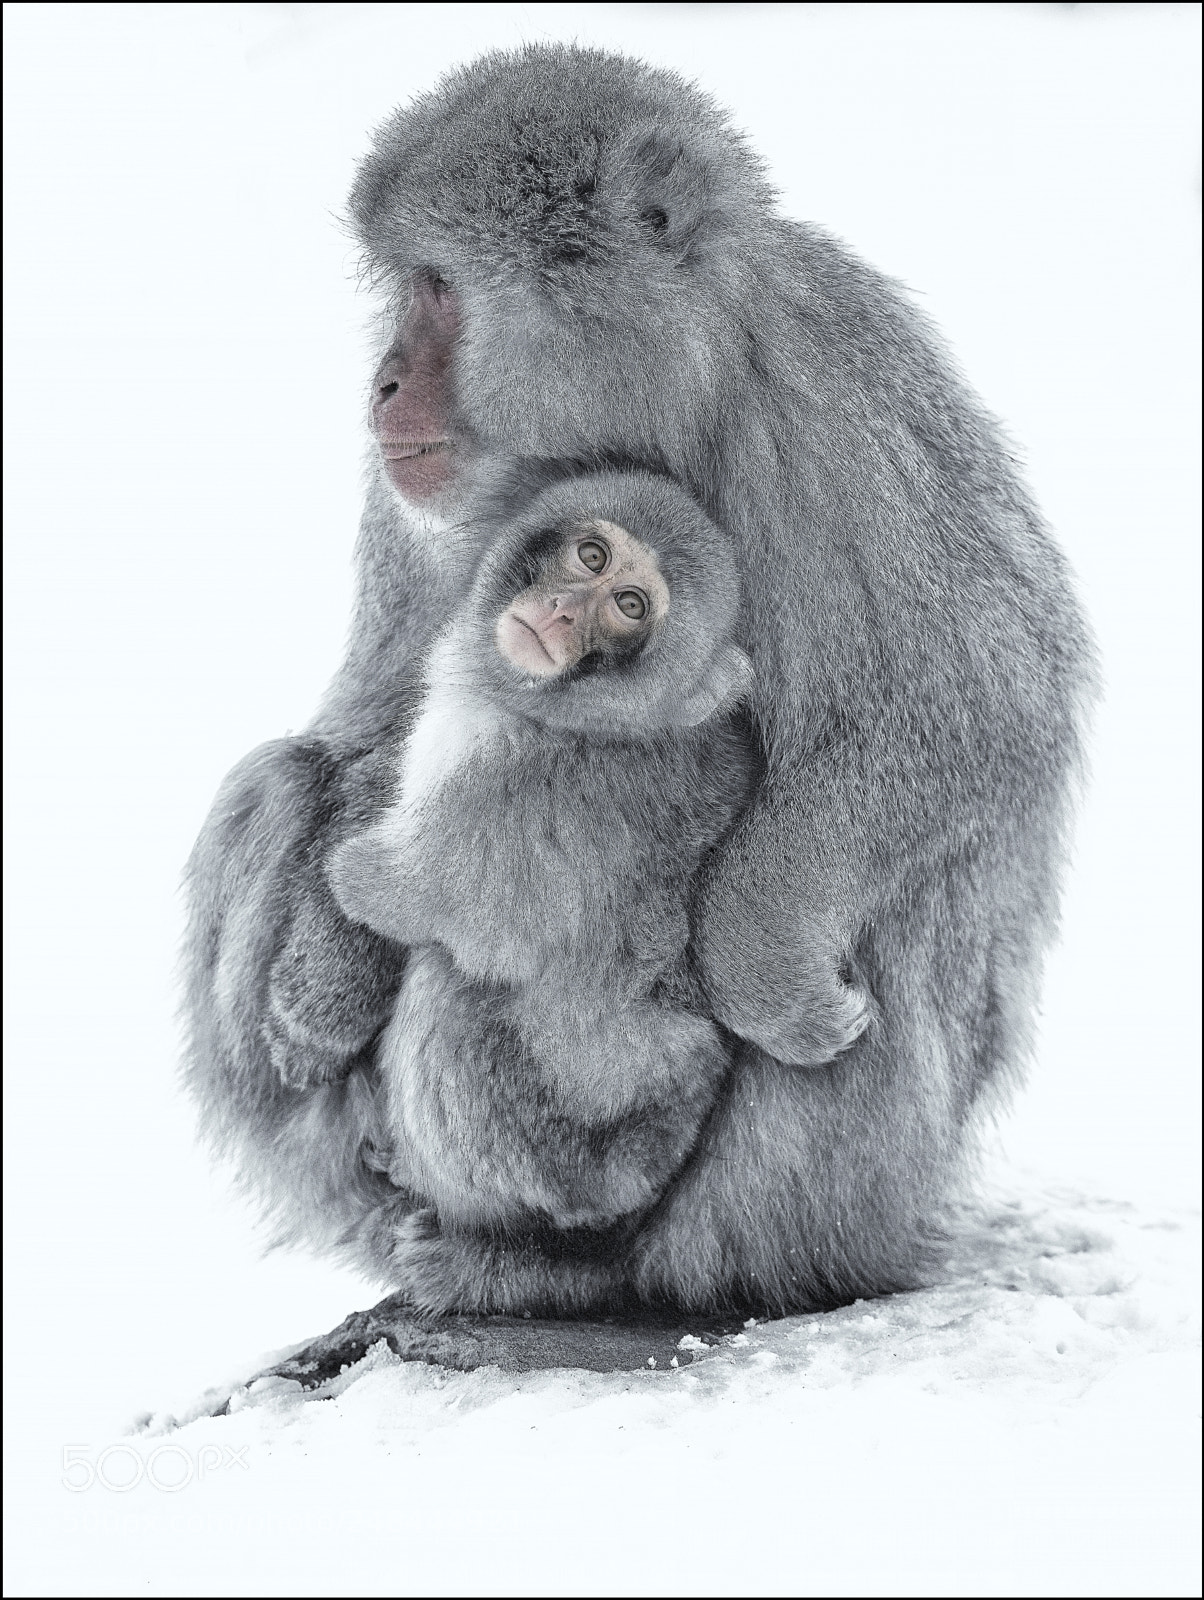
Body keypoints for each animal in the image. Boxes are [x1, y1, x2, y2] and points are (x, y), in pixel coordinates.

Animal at [325, 469, 755, 1250]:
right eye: (591, 557)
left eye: (628, 606)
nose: (560, 612)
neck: (567, 720)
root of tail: (633, 1172)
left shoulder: (500, 791)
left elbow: (406, 903)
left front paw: (353, 864)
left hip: (537, 1152)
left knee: (445, 987)